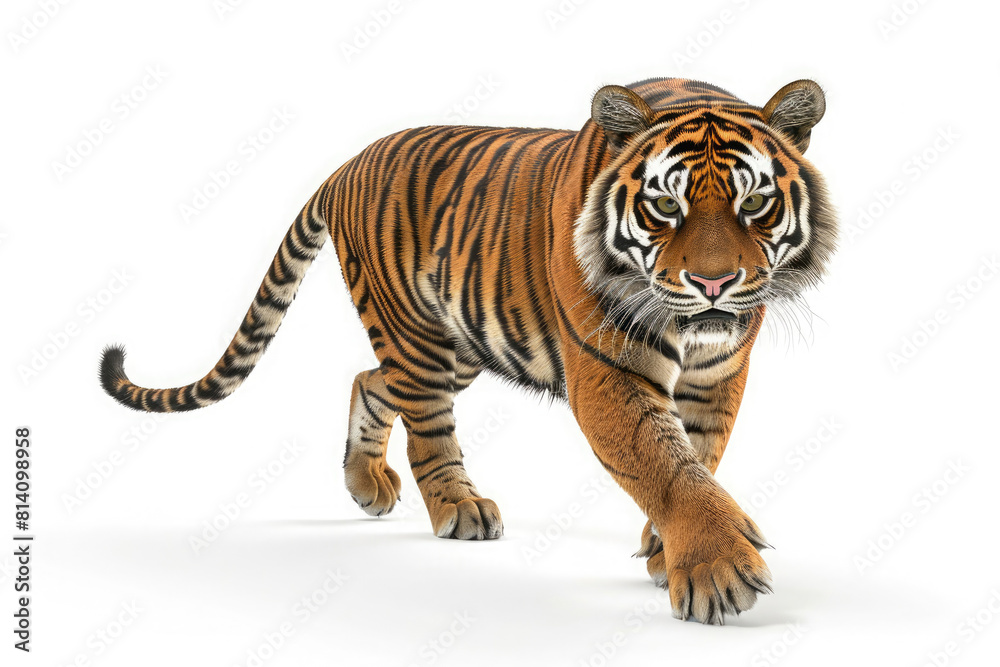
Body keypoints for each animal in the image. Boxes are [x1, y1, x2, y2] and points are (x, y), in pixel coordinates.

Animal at [100, 77, 837, 624]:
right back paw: (460, 508)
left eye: (755, 203)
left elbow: (699, 455)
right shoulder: (608, 369)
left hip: (460, 344)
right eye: (664, 205)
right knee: (426, 429)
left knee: (369, 379)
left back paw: (364, 482)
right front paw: (715, 569)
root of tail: (345, 164)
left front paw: (667, 551)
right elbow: (664, 463)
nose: (714, 283)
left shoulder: (719, 375)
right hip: (419, 338)